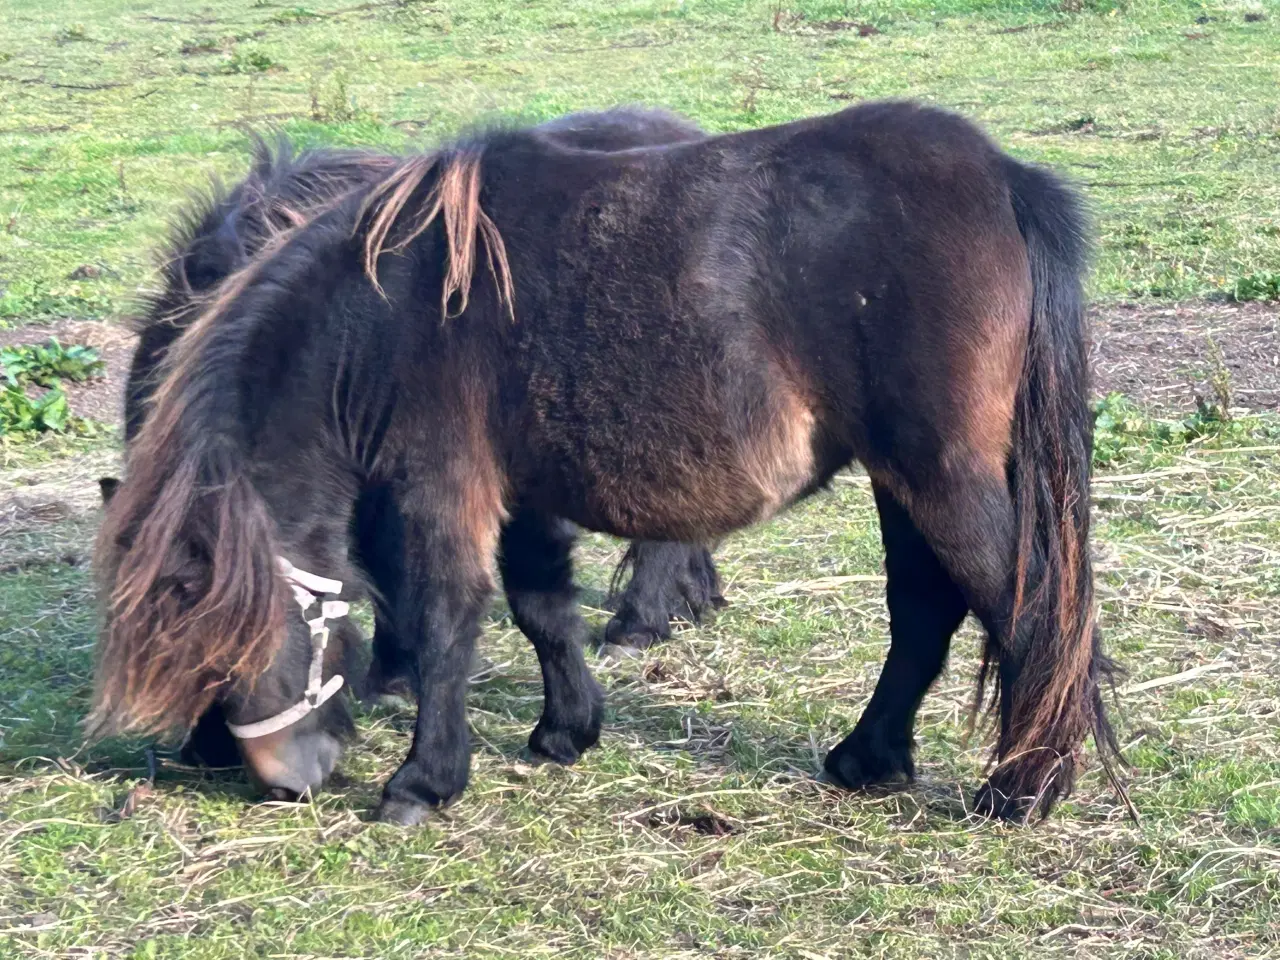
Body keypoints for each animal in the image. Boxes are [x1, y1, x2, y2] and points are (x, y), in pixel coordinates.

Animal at [94, 103, 1126, 829]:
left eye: (227, 644)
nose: (283, 781)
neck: (384, 313)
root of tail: (1001, 176)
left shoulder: (438, 489)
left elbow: (442, 622)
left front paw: (423, 782)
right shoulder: (518, 495)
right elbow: (541, 609)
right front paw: (566, 731)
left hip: (938, 475)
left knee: (1028, 608)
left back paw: (1023, 789)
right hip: (900, 481)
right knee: (924, 613)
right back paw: (867, 761)